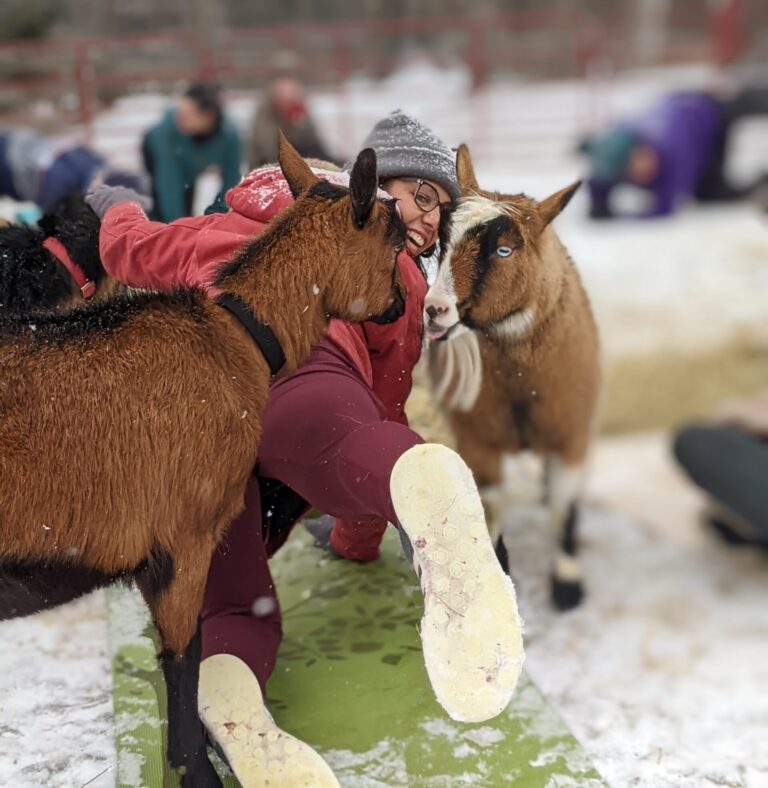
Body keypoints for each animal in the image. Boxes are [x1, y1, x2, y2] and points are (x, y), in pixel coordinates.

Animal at [0, 133, 406, 787]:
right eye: (396, 242)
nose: (401, 303)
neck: (237, 334)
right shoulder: (183, 541)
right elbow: (184, 658)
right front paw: (196, 768)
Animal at [424, 144, 601, 611]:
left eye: (503, 251)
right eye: (441, 241)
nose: (434, 310)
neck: (522, 380)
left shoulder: (570, 434)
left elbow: (562, 508)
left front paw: (567, 584)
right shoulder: (478, 440)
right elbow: (491, 510)